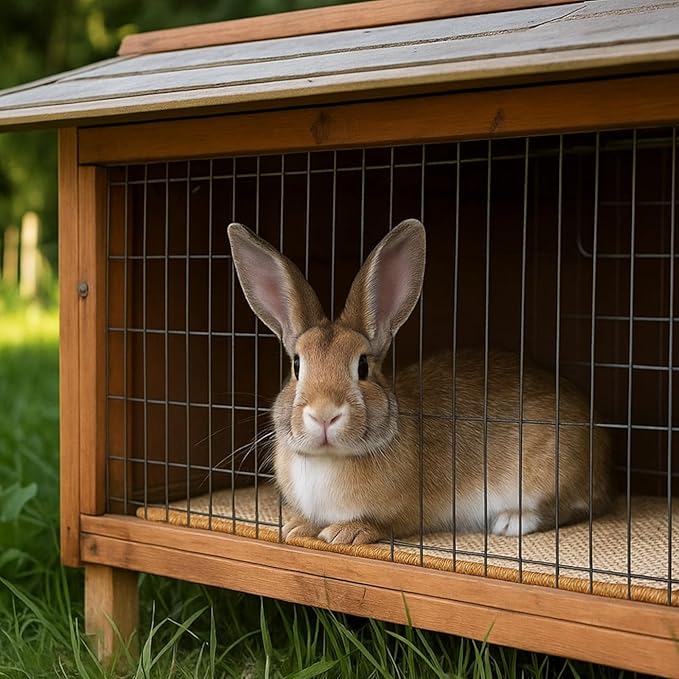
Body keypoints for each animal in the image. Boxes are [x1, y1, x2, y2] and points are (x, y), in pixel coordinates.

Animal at [227, 219, 613, 545]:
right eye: (296, 365)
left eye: (363, 366)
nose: (324, 415)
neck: (329, 459)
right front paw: (295, 527)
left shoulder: (405, 514)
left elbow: (382, 524)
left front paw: (345, 533)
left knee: (576, 507)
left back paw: (511, 522)